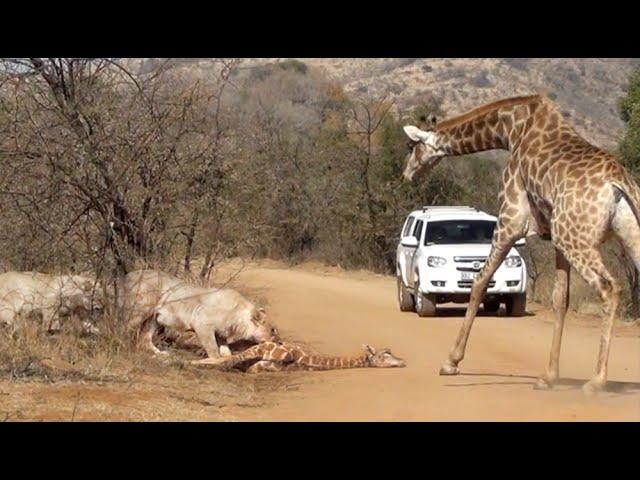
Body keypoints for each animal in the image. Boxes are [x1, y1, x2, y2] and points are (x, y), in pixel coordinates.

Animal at [402, 93, 640, 394]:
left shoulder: (510, 219)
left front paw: (451, 362)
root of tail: (618, 183)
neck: (511, 129)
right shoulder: (555, 237)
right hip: (618, 235)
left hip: (577, 238)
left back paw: (597, 380)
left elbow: (480, 281)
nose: (406, 173)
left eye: (411, 147)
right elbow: (560, 299)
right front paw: (548, 376)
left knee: (609, 288)